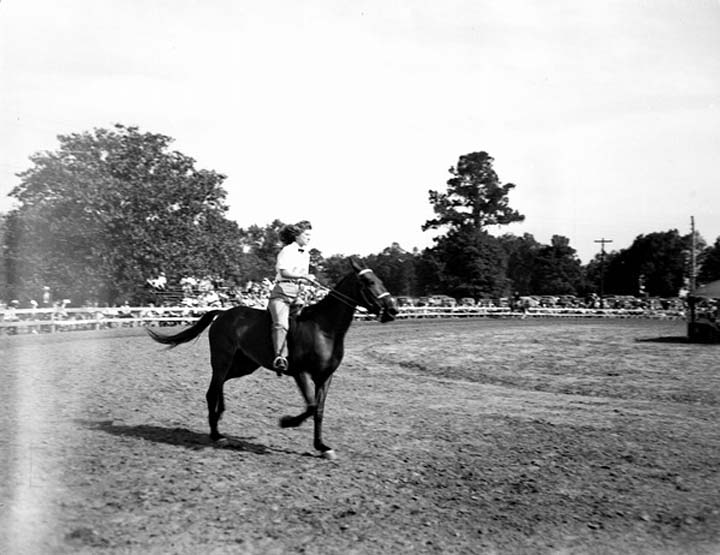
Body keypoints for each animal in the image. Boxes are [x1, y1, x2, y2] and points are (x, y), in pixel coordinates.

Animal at [143, 260, 396, 460]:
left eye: (380, 280)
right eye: (369, 282)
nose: (392, 309)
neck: (323, 328)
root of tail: (223, 313)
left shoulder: (325, 377)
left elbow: (319, 411)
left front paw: (322, 446)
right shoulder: (300, 372)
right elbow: (311, 406)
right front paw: (287, 422)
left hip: (244, 364)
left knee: (220, 385)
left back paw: (220, 416)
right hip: (222, 360)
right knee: (212, 390)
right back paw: (216, 434)